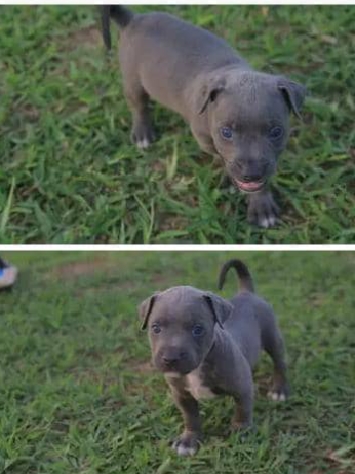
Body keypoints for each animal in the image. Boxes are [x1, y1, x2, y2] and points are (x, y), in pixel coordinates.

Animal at [101, 5, 308, 228]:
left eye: (276, 131)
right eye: (226, 132)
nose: (251, 174)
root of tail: (133, 18)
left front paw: (260, 202)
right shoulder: (204, 139)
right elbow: (221, 157)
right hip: (132, 78)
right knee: (138, 105)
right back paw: (142, 133)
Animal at [139, 260, 290, 456]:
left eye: (198, 329)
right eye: (156, 328)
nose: (171, 358)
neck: (199, 367)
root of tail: (247, 292)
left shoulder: (242, 388)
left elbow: (242, 411)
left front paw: (240, 433)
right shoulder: (181, 395)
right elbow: (191, 417)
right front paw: (189, 441)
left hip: (272, 338)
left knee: (279, 363)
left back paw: (279, 390)